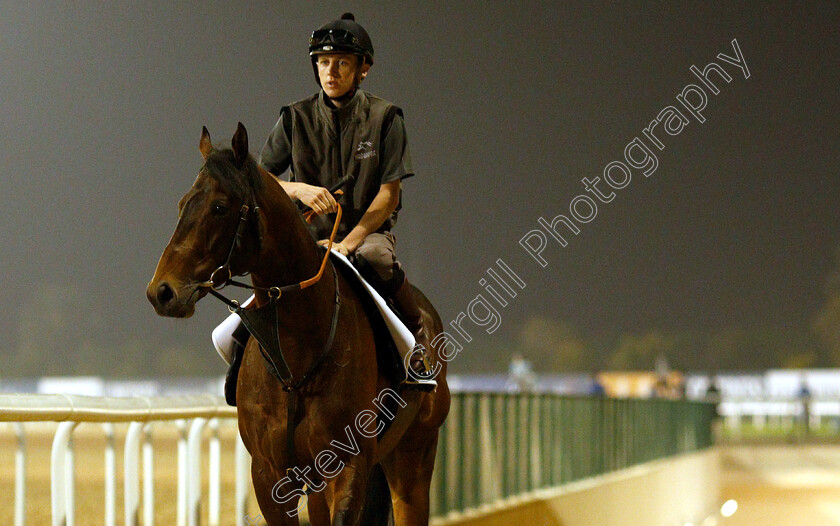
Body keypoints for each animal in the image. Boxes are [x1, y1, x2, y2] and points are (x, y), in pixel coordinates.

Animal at [146, 125, 446, 526]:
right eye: (182, 205)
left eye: (220, 207)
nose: (161, 292)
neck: (296, 353)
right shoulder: (269, 474)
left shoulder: (348, 465)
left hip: (414, 456)